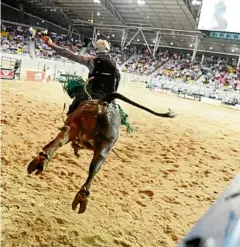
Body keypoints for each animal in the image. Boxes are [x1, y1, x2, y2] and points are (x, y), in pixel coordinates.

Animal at [27, 92, 175, 214]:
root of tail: (103, 103)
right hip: (104, 145)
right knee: (94, 167)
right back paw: (82, 197)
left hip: (73, 128)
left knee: (58, 141)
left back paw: (41, 161)